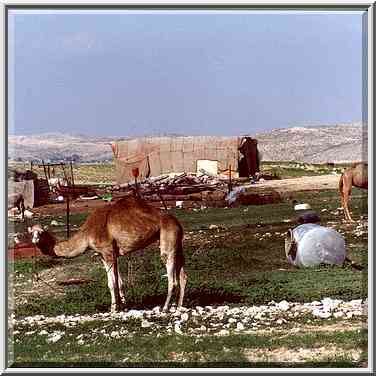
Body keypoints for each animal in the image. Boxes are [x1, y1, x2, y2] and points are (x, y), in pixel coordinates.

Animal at [28, 195, 188, 312]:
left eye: (40, 233)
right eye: (31, 233)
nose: (34, 240)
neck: (87, 233)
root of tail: (177, 222)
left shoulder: (108, 251)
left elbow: (112, 283)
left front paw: (113, 309)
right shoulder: (105, 255)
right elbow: (117, 282)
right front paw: (122, 306)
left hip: (168, 237)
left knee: (172, 277)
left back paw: (165, 307)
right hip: (177, 242)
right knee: (183, 275)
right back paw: (179, 306)